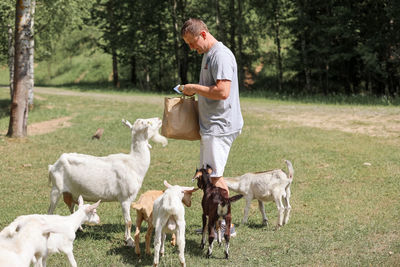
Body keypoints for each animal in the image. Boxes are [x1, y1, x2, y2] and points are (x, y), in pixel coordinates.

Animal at [47, 117, 166, 247]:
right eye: (147, 122)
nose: (159, 118)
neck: (134, 163)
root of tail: (53, 166)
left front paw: (127, 238)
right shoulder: (124, 198)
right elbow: (128, 221)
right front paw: (130, 241)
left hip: (71, 192)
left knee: (72, 207)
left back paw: (80, 228)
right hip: (56, 189)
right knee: (50, 211)